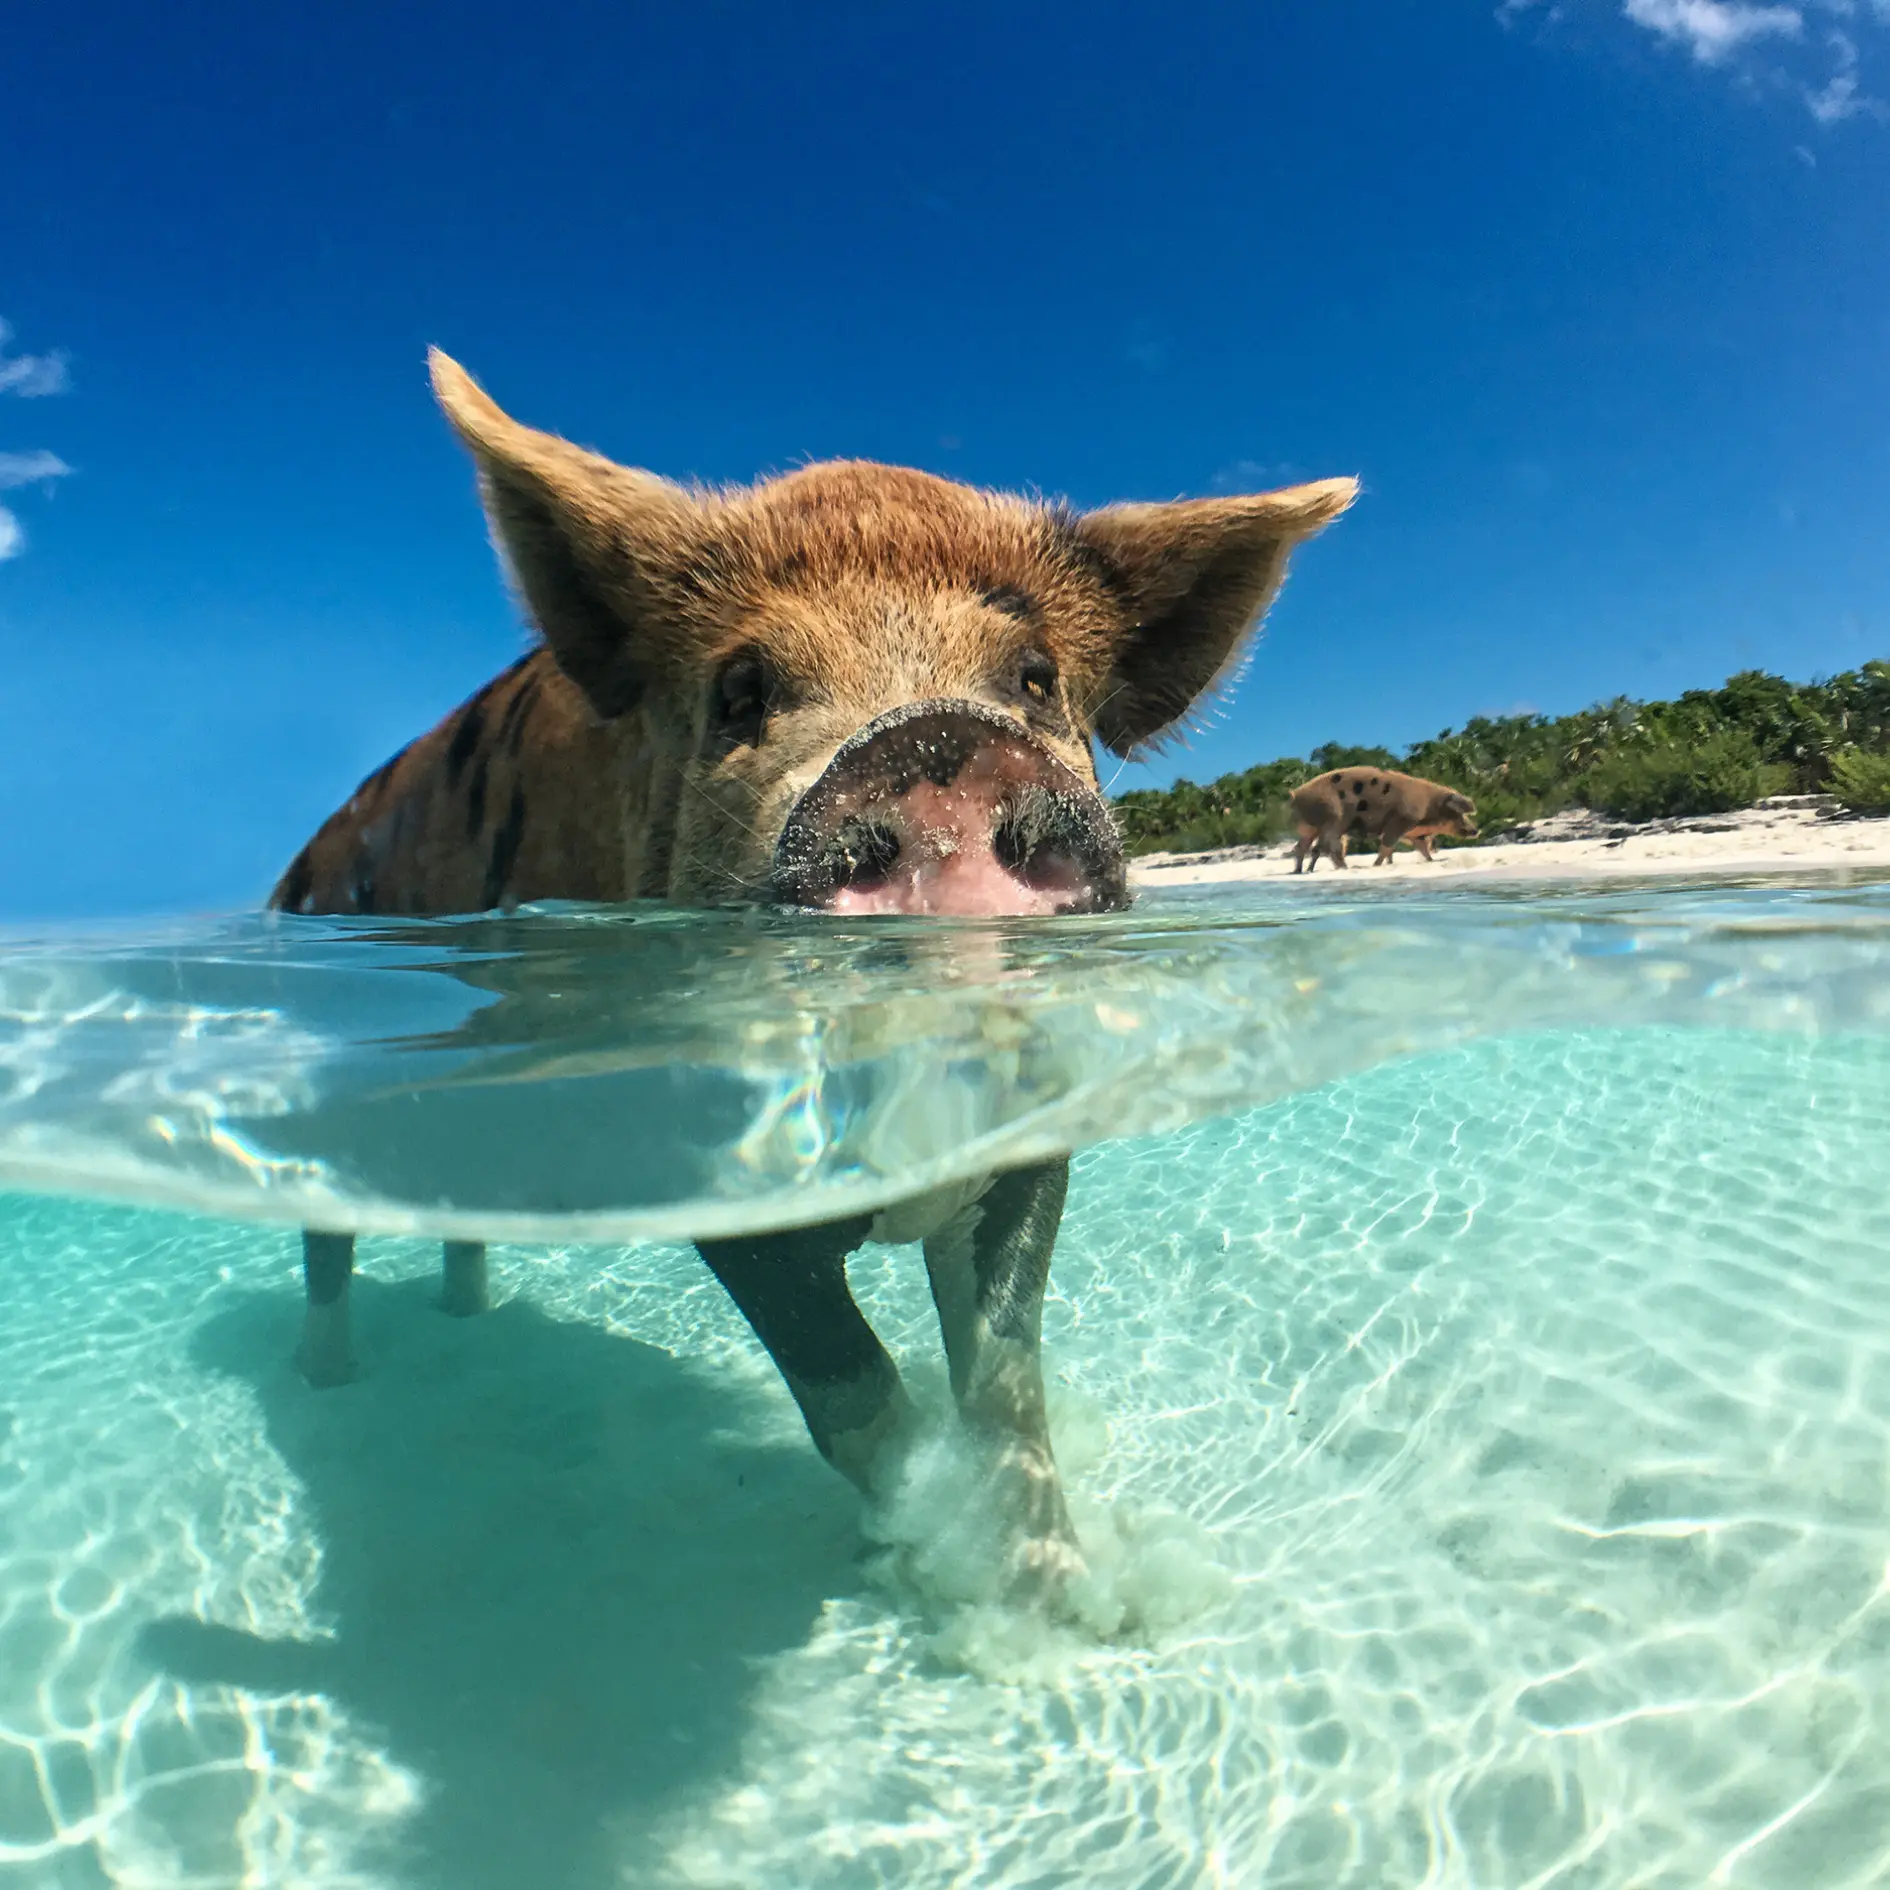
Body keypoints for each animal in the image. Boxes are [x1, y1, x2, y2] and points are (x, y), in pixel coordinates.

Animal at [270, 350, 1357, 1599]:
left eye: (1036, 678)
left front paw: (1067, 1606)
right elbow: (852, 1393)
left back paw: (464, 1322)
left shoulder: (1035, 1130)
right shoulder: (701, 1153)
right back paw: (327, 1381)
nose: (936, 743)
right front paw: (929, 1572)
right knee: (324, 1238)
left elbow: (1005, 1383)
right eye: (741, 689)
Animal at [1290, 767, 1477, 872]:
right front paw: (1376, 865)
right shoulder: (1400, 821)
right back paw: (1343, 868)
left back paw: (1300, 871)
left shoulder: (1413, 832)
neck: (1428, 805)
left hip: (1311, 828)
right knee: (1330, 847)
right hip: (1334, 820)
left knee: (1302, 847)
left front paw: (1432, 861)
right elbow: (1387, 846)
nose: (1476, 830)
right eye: (1457, 813)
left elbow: (1422, 849)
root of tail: (1296, 794)